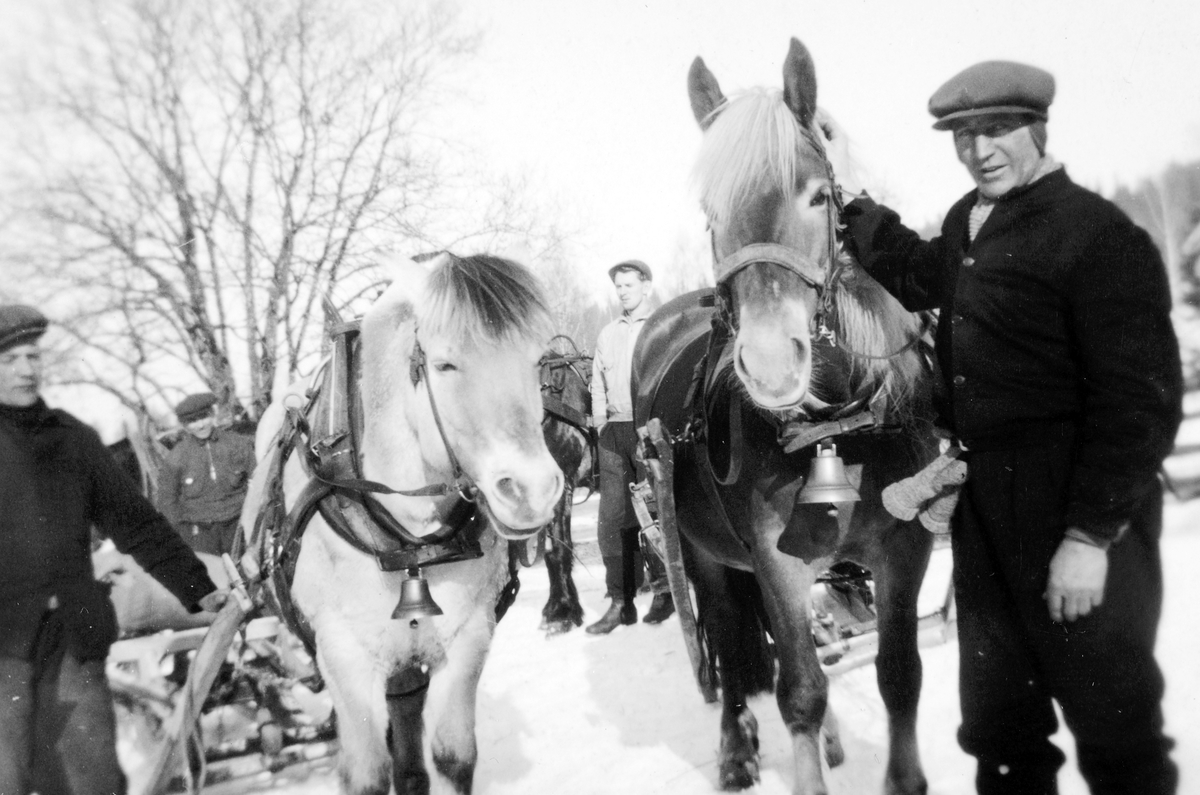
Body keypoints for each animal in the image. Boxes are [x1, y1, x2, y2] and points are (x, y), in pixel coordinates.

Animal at [246, 253, 564, 792]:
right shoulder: (343, 655)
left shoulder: (468, 634)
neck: (407, 538)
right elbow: (367, 774)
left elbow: (453, 754)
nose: (533, 492)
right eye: (444, 364)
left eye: (538, 361)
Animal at [628, 37, 936, 795]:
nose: (768, 361)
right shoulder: (775, 558)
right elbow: (798, 686)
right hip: (703, 553)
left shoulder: (905, 547)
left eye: (819, 195)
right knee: (728, 639)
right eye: (712, 213)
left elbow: (899, 673)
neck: (836, 426)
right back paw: (736, 745)